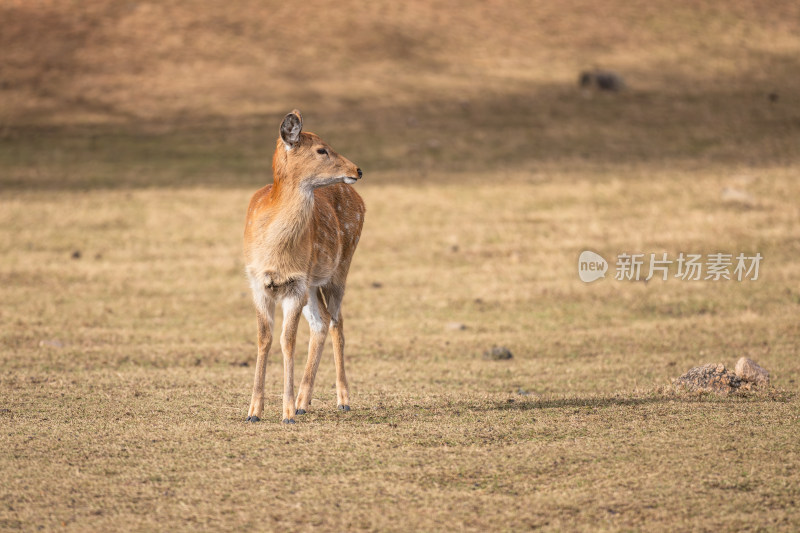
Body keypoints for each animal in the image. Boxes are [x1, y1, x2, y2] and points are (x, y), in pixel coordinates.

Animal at [241, 109, 366, 424]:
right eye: (321, 149)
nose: (358, 170)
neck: (275, 251)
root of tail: (360, 200)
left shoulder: (295, 284)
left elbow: (287, 340)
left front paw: (285, 413)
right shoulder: (257, 282)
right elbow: (264, 338)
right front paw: (254, 411)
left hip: (339, 269)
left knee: (335, 322)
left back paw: (341, 400)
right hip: (312, 284)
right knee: (321, 322)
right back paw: (303, 402)